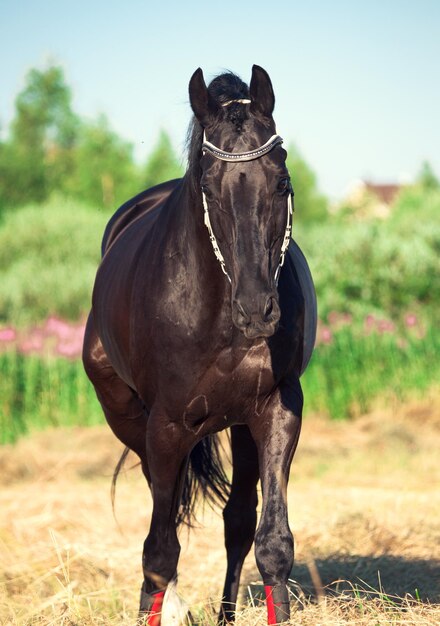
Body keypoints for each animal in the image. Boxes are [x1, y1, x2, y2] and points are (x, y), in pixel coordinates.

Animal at [82, 66, 316, 620]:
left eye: (281, 181)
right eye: (209, 187)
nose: (257, 309)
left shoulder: (277, 410)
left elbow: (272, 543)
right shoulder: (166, 427)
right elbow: (159, 551)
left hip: (240, 426)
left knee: (237, 521)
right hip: (130, 420)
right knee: (162, 514)